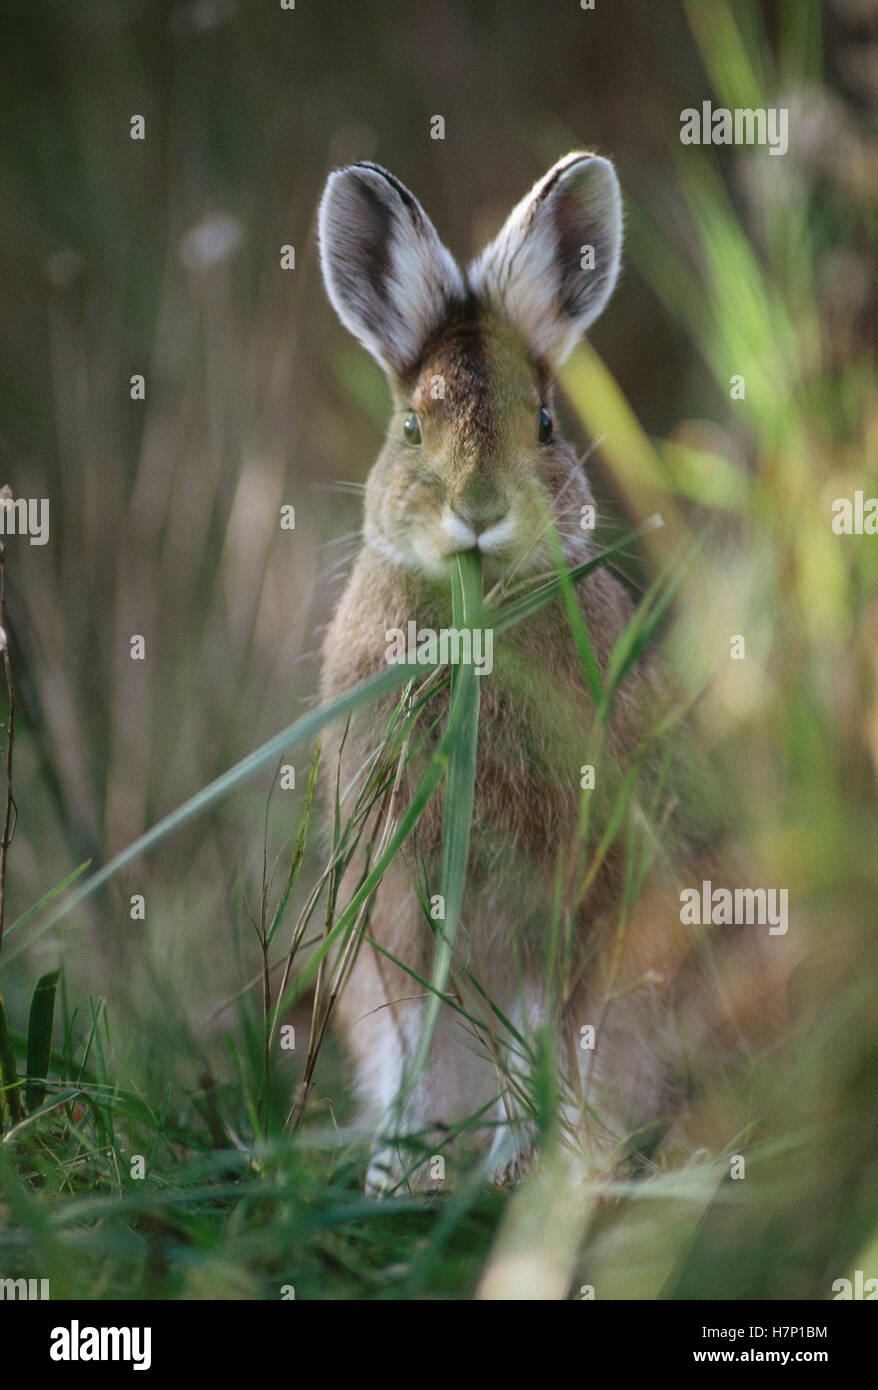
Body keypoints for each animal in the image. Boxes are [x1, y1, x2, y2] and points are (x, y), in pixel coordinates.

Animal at [316, 154, 786, 1195]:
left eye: (541, 423)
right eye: (411, 430)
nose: (479, 511)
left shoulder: (575, 881)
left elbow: (546, 1029)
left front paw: (528, 1170)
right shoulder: (395, 900)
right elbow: (416, 1034)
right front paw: (402, 1176)